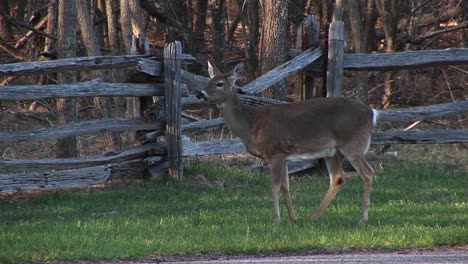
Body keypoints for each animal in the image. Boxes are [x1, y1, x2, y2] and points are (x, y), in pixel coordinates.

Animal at [196, 62, 378, 225]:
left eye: (219, 83)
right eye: (208, 80)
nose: (200, 93)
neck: (250, 125)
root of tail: (371, 113)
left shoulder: (275, 152)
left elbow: (275, 186)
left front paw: (276, 220)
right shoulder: (284, 155)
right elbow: (285, 186)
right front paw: (292, 219)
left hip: (353, 145)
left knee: (368, 173)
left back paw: (362, 219)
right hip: (333, 152)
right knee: (338, 178)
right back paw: (313, 217)